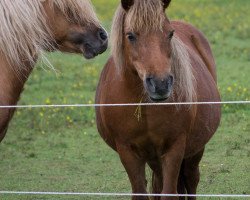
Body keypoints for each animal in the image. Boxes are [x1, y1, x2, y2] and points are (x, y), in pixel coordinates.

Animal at [95, 0, 221, 200]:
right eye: (130, 36)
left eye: (170, 33)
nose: (161, 84)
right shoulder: (127, 151)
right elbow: (141, 191)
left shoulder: (174, 148)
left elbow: (169, 192)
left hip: (195, 149)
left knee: (191, 179)